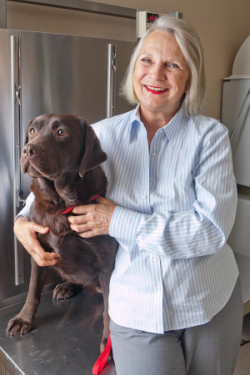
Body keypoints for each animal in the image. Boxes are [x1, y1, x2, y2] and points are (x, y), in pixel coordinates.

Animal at [6, 114, 118, 352]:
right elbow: (32, 291)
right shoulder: (39, 253)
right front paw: (23, 319)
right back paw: (67, 286)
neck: (60, 203)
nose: (27, 150)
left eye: (61, 132)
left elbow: (109, 312)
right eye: (32, 131)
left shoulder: (106, 266)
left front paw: (109, 345)